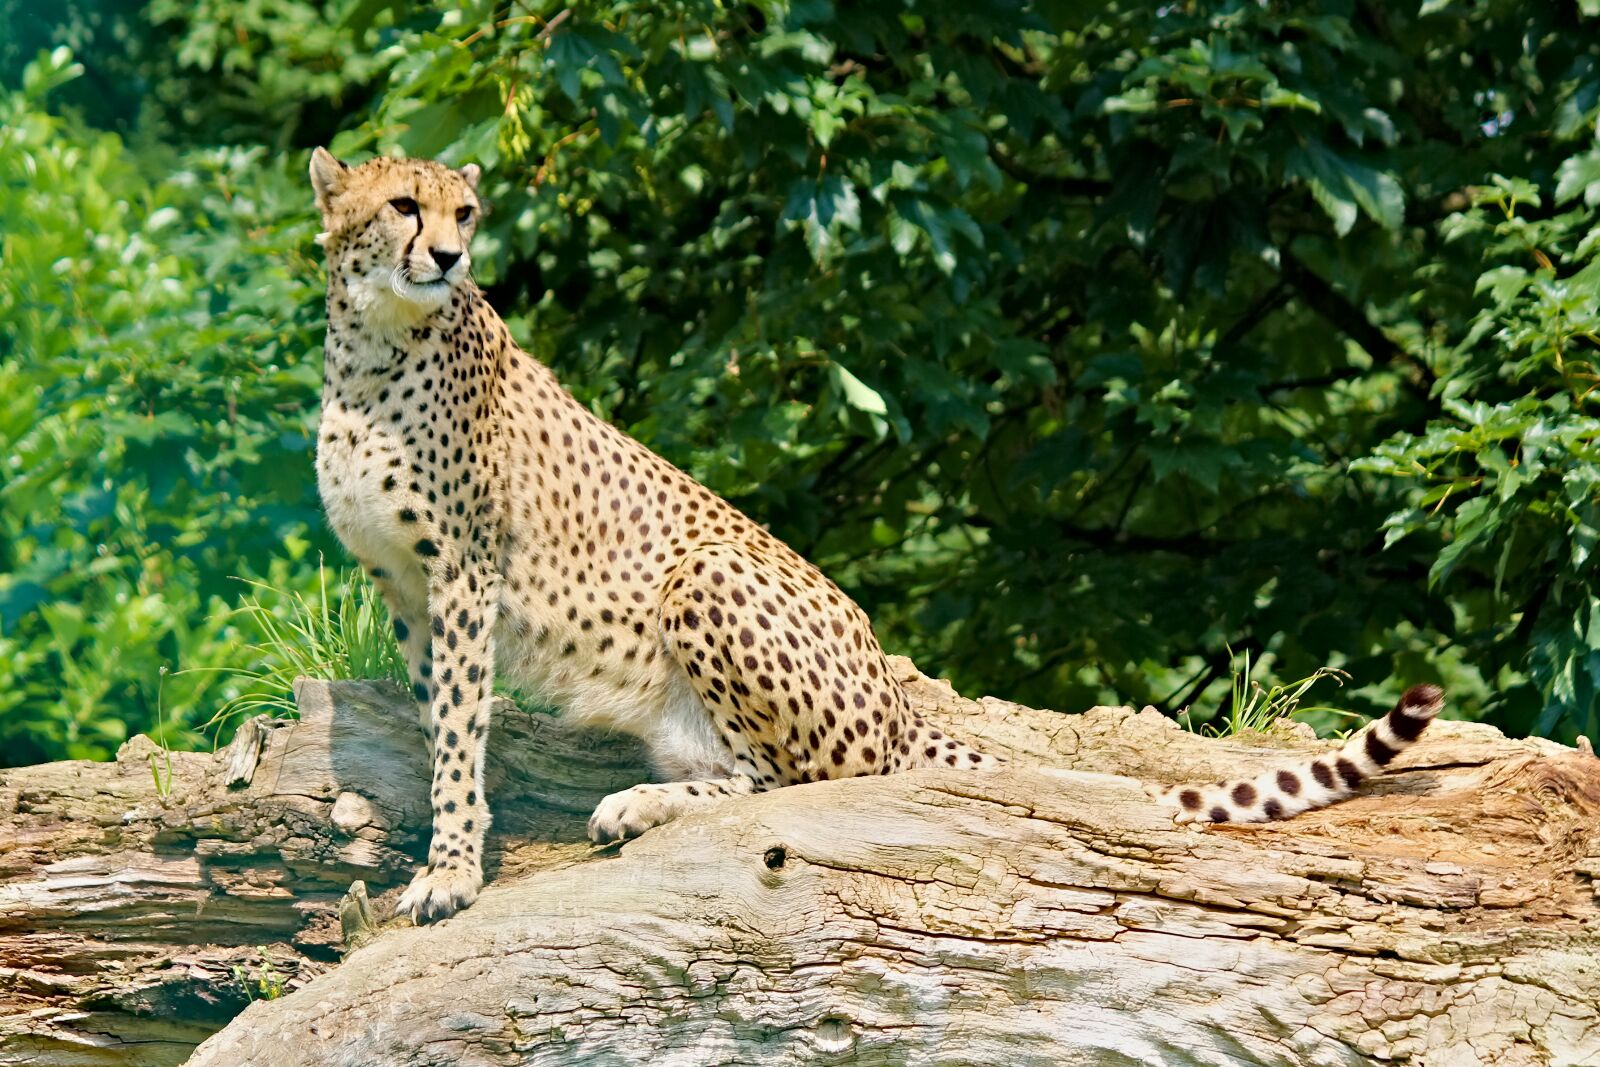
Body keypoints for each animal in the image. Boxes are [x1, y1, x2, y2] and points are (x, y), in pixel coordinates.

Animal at [307, 148, 1446, 923]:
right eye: (403, 206)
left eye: (464, 211)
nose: (448, 255)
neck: (370, 354)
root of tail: (895, 696)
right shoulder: (404, 585)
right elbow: (439, 714)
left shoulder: (462, 573)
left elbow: (460, 730)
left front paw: (451, 870)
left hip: (705, 571)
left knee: (807, 784)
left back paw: (635, 806)